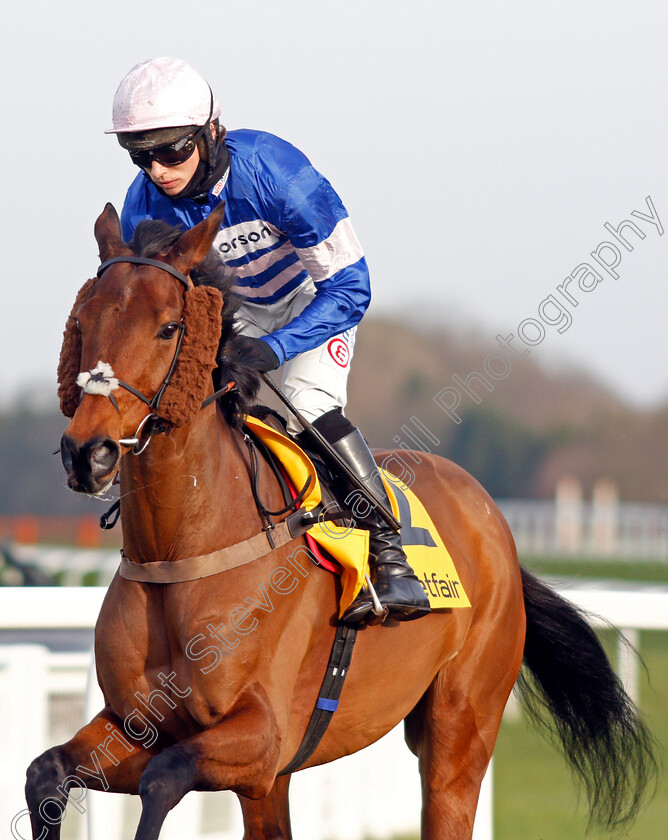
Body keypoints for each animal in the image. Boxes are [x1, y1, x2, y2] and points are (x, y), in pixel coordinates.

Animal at [24, 205, 652, 840]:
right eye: (82, 321)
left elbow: (163, 779)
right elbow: (46, 771)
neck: (181, 550)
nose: (88, 452)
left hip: (461, 726)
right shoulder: (140, 724)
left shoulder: (263, 737)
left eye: (169, 328)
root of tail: (492, 519)